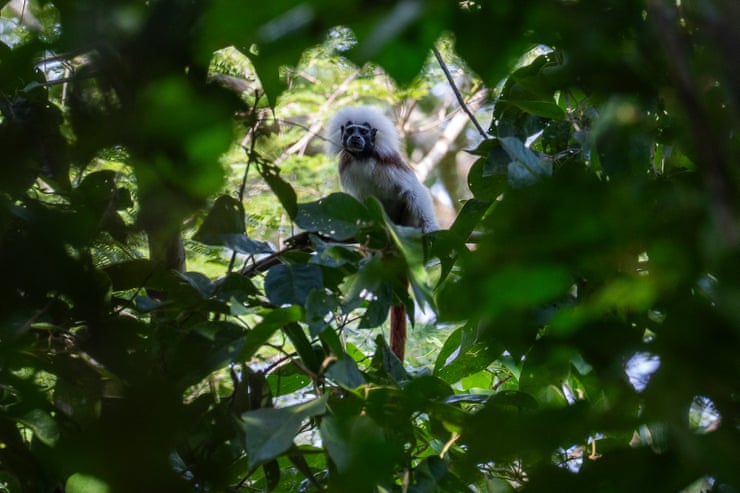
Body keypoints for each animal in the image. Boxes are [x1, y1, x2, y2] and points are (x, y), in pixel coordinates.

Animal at [326, 106, 439, 362]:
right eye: (350, 130)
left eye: (363, 131)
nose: (355, 139)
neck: (363, 158)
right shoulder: (347, 167)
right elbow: (361, 204)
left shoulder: (388, 161)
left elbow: (413, 191)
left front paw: (430, 229)